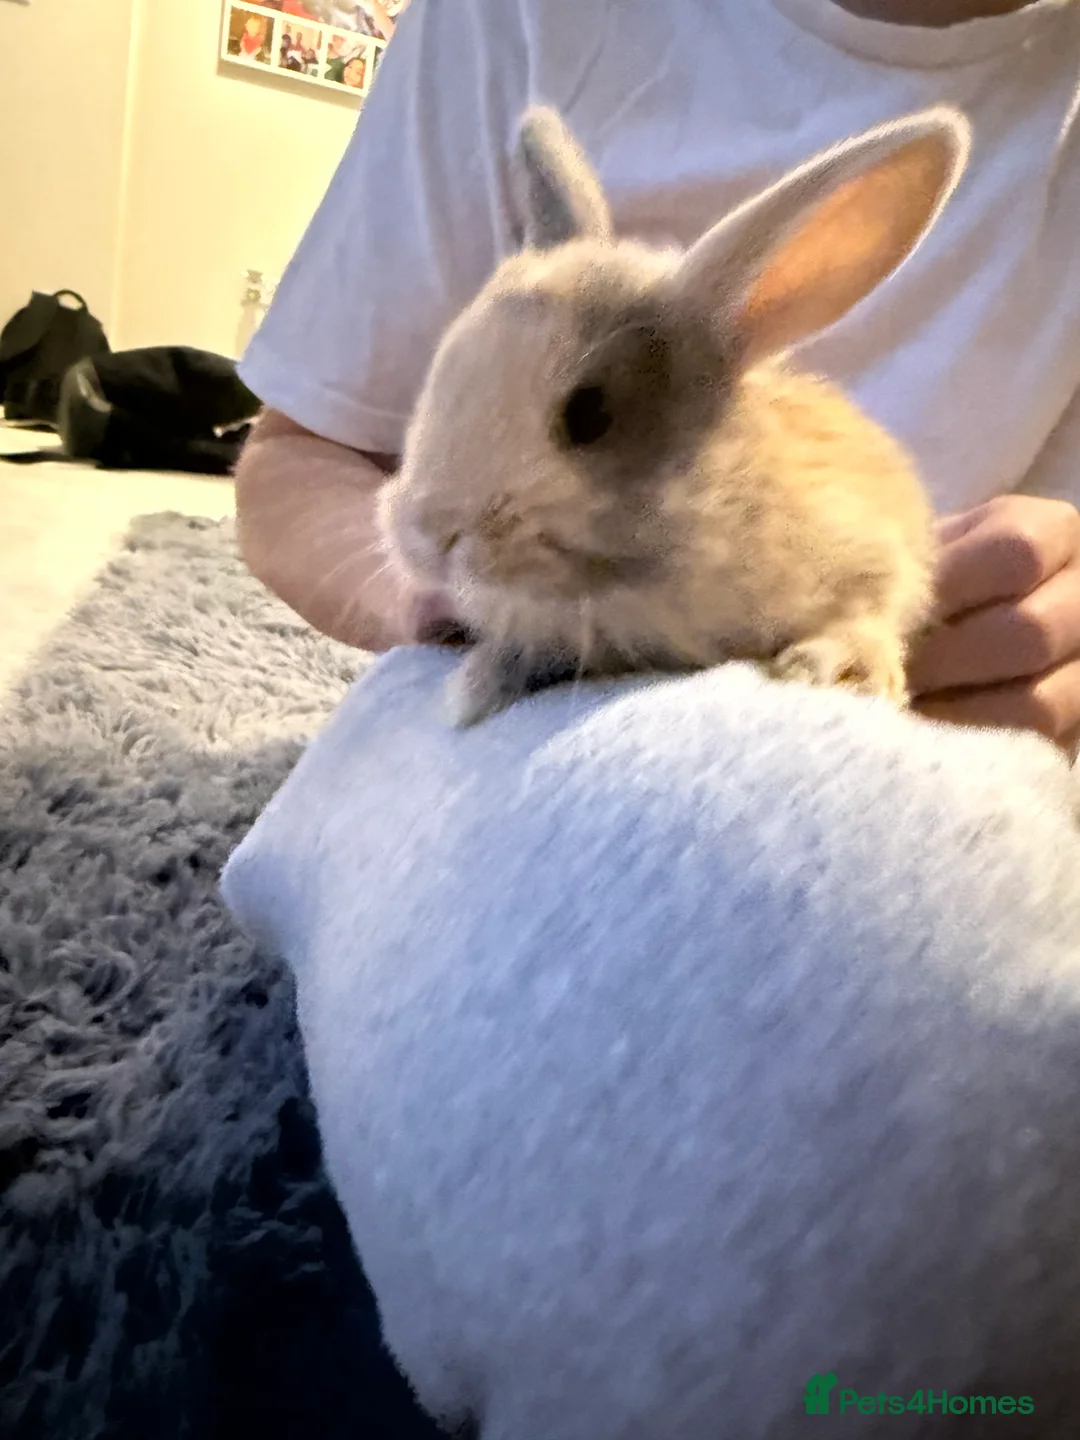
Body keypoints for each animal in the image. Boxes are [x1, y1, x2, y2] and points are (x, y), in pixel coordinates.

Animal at [378, 103, 972, 728]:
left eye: (590, 414)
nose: (427, 534)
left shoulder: (875, 552)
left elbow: (875, 608)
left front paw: (829, 669)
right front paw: (477, 687)